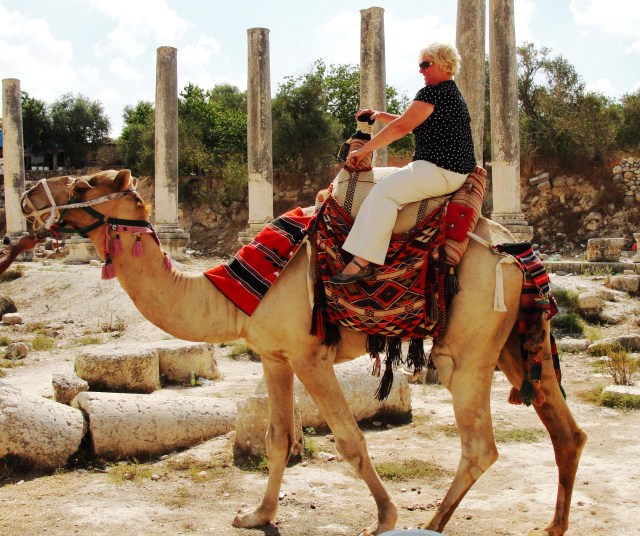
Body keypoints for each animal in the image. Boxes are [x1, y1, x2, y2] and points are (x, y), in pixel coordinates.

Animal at [18, 169, 586, 535]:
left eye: (85, 185)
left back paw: (431, 523)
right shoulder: (275, 355)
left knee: (481, 446)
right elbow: (278, 438)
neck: (239, 293)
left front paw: (385, 519)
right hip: (518, 339)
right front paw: (257, 516)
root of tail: (513, 249)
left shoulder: (311, 356)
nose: (25, 195)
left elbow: (350, 440)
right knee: (567, 431)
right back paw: (552, 526)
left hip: (467, 345)